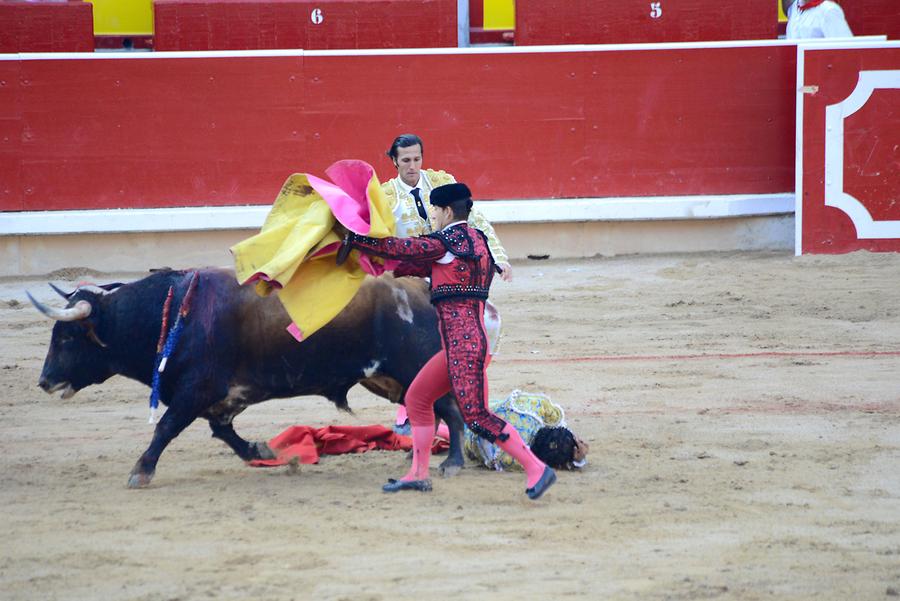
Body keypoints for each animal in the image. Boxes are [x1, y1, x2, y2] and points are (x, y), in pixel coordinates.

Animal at [28, 270, 478, 486]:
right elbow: (223, 432)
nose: (45, 381)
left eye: (67, 337)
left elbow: (166, 427)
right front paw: (264, 451)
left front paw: (141, 471)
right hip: (390, 379)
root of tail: (420, 287)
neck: (171, 316)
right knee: (434, 410)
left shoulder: (196, 389)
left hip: (413, 367)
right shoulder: (218, 397)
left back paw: (451, 463)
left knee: (451, 410)